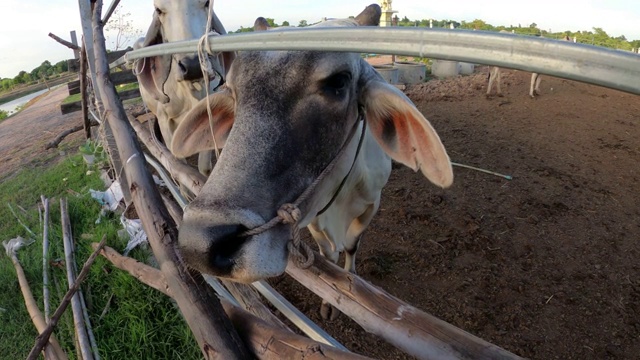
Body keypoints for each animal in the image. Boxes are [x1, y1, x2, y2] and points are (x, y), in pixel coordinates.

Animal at [170, 4, 456, 320]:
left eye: (338, 82)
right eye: (232, 92)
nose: (198, 244)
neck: (343, 191)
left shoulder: (372, 203)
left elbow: (351, 245)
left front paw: (350, 276)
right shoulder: (314, 216)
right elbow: (328, 255)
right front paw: (329, 302)